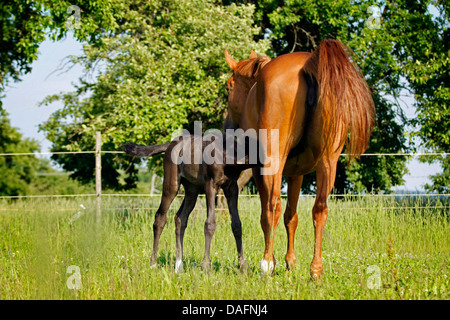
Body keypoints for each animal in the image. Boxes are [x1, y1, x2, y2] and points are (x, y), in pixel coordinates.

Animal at [123, 132, 256, 272]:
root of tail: (170, 144)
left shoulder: (232, 187)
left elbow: (237, 224)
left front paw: (243, 266)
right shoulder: (210, 185)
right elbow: (210, 223)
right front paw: (206, 266)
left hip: (192, 189)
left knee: (180, 218)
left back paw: (178, 266)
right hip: (172, 184)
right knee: (160, 217)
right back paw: (153, 263)